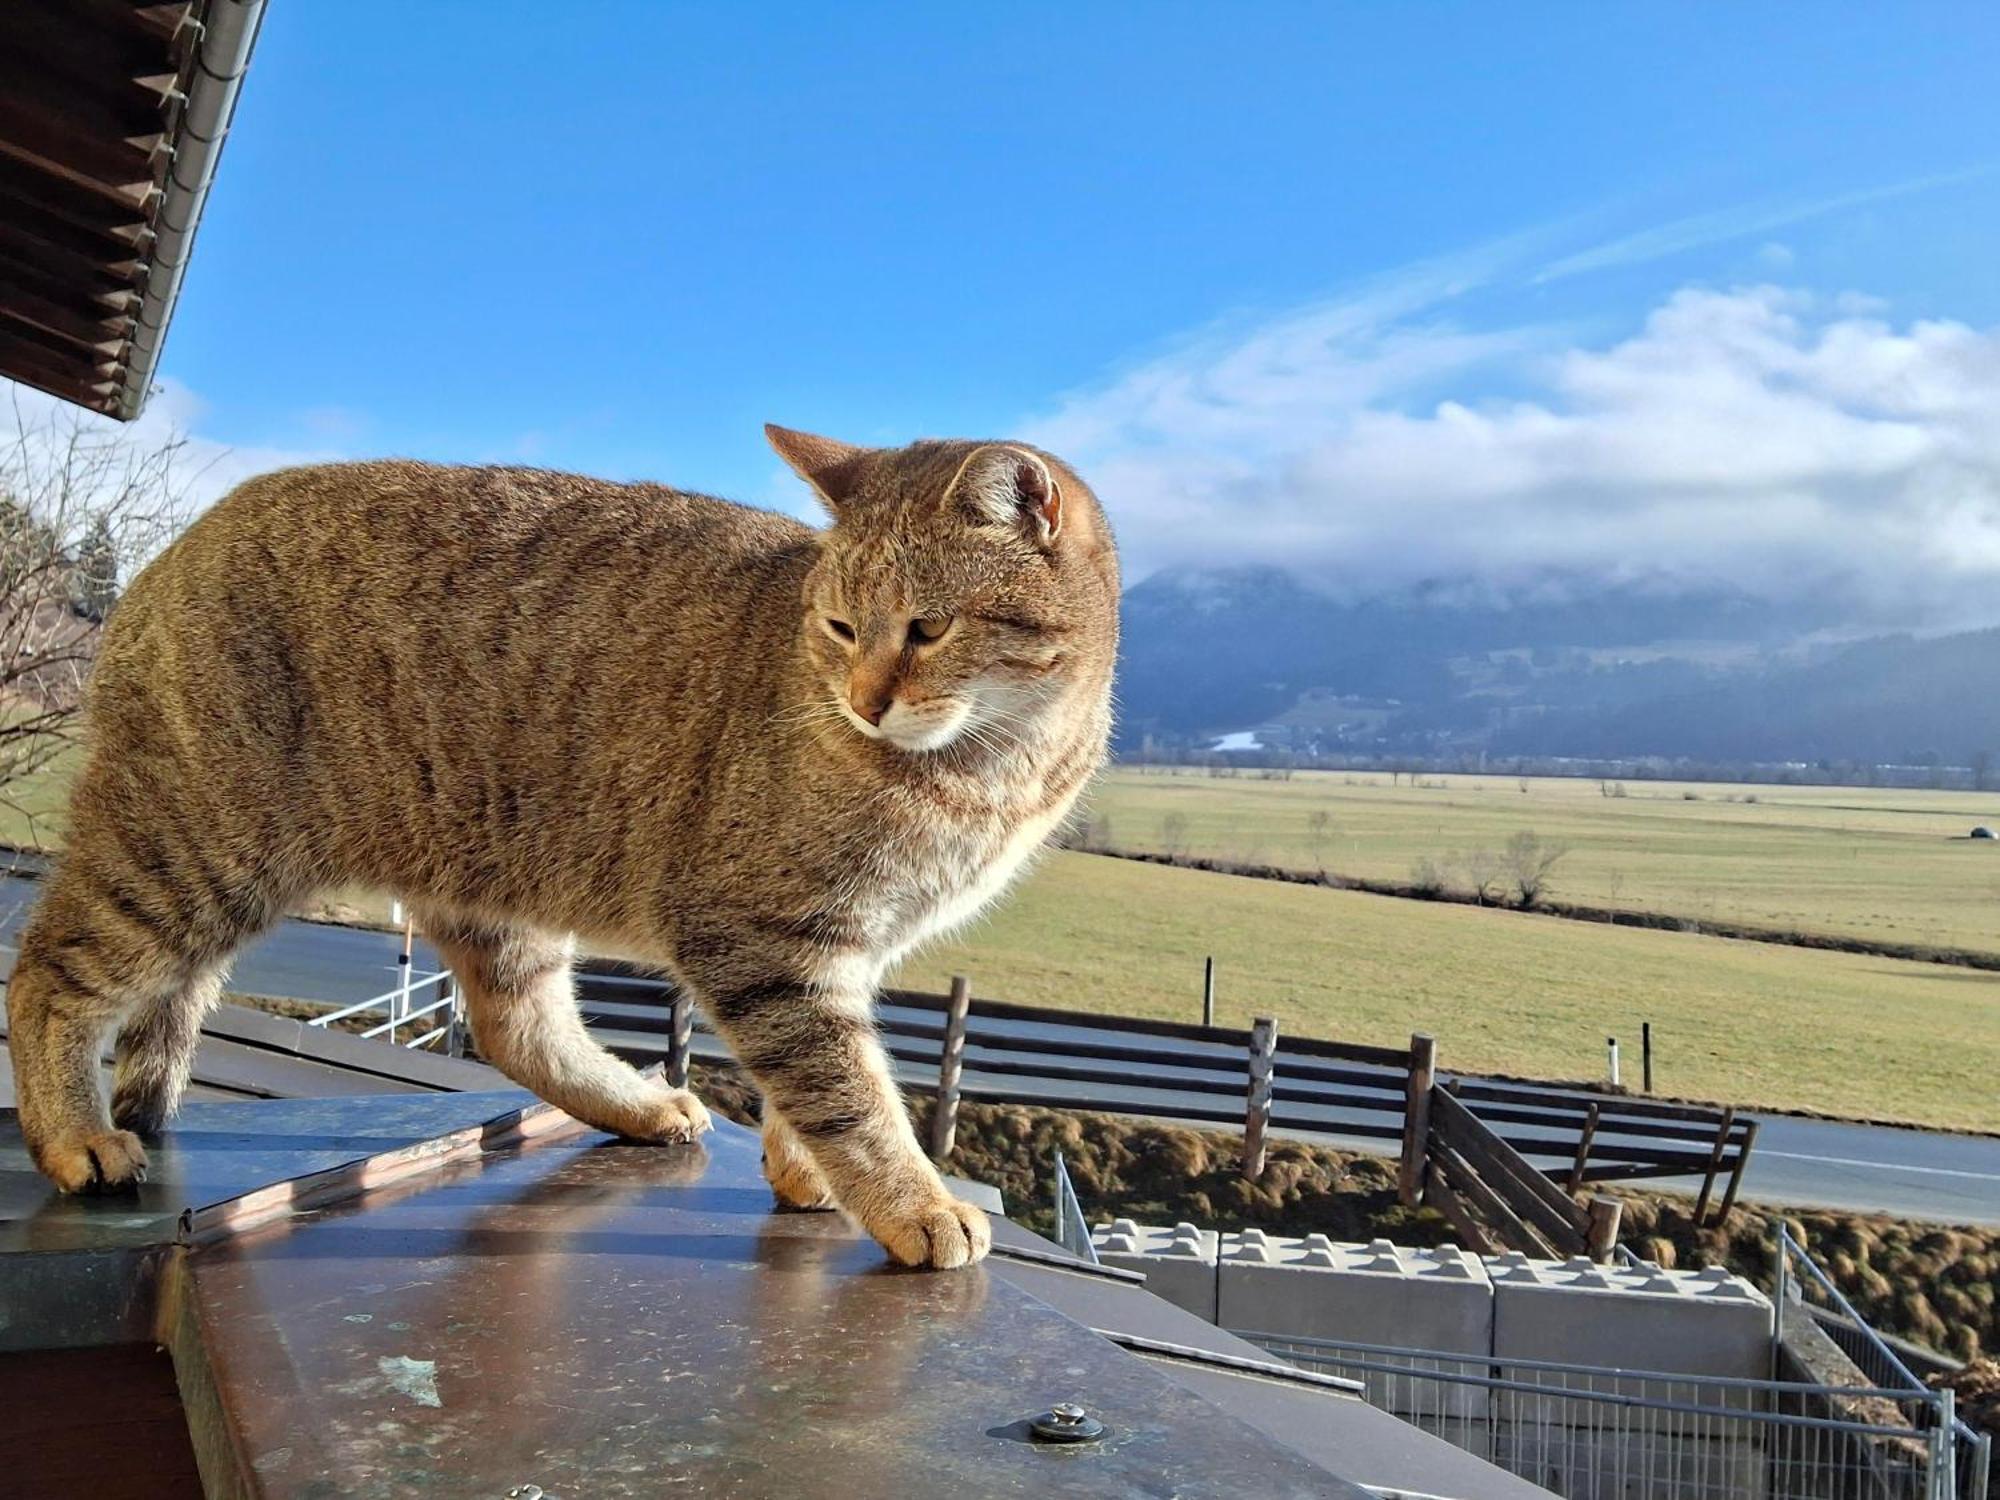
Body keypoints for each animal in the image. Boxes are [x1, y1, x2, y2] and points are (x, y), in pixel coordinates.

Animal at [7, 426, 1120, 1272]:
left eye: (927, 629)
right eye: (843, 628)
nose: (864, 700)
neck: (998, 767)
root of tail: (175, 547)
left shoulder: (848, 945)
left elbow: (824, 1081)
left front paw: (807, 1171)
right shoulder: (765, 939)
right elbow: (845, 1089)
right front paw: (910, 1202)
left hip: (488, 879)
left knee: (516, 1029)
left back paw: (637, 1104)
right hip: (192, 841)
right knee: (46, 971)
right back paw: (71, 1136)